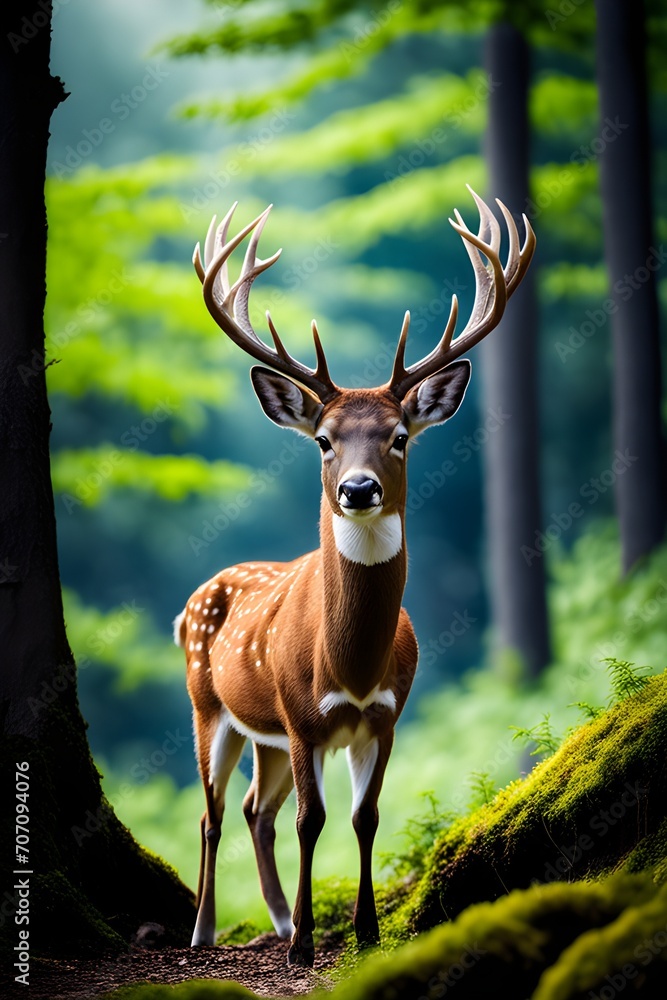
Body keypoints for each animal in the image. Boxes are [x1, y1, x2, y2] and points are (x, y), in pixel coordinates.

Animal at [174, 187, 535, 966]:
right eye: (322, 440)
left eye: (399, 436)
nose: (359, 488)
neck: (350, 667)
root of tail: (191, 602)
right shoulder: (301, 716)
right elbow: (314, 821)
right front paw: (308, 947)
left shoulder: (384, 716)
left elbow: (365, 818)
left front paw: (363, 932)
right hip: (209, 704)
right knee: (213, 814)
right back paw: (205, 930)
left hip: (264, 737)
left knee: (254, 809)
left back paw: (278, 920)